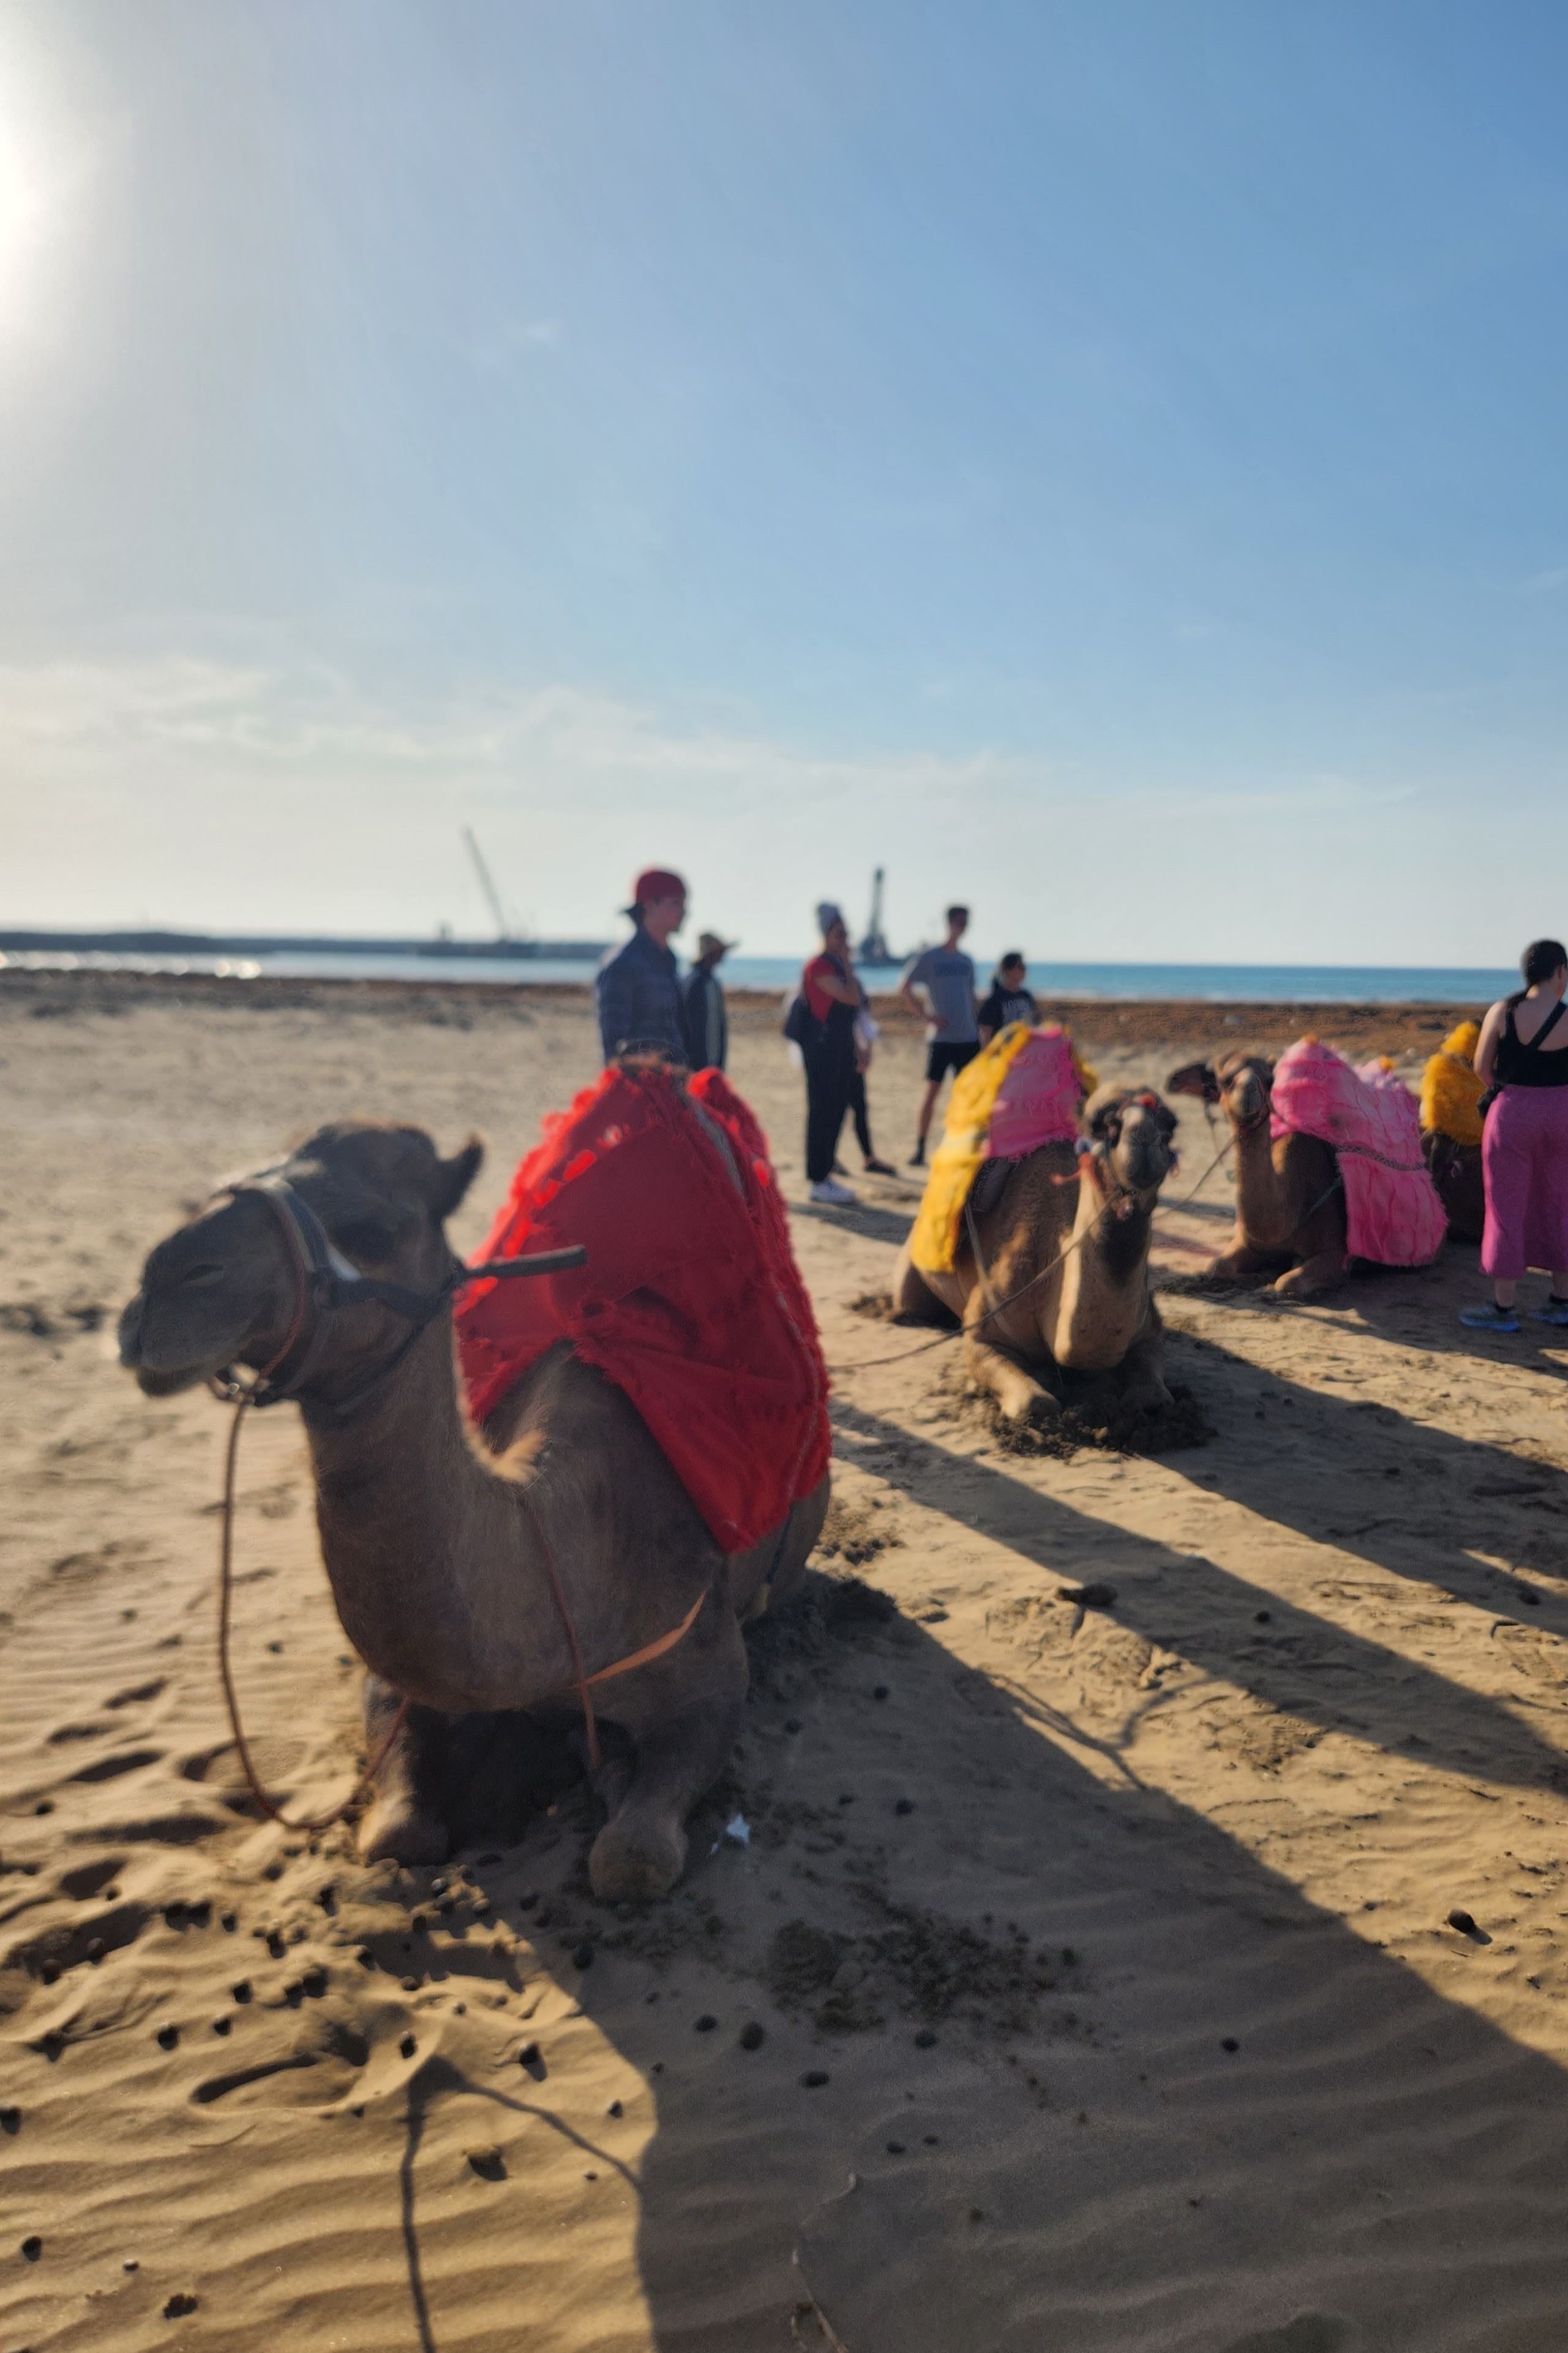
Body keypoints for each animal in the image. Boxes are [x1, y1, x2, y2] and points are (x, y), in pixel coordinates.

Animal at [117, 1119, 828, 1900]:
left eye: (373, 1228)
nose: (162, 1284)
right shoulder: (397, 1682)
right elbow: (397, 1835)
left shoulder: (710, 1679)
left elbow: (630, 1859)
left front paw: (607, 1771)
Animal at [890, 1084, 1179, 1427]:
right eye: (1102, 1124)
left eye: (1170, 1125)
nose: (1143, 1140)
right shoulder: (983, 1332)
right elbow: (1035, 1403)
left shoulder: (1148, 1329)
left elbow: (1156, 1397)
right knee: (909, 1302)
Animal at [1166, 1053, 1346, 1295]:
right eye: (1224, 1080)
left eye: (1270, 1080)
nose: (1248, 1093)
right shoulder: (1249, 1242)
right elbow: (1217, 1266)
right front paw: (1257, 1276)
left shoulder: (1337, 1252)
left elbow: (1287, 1283)